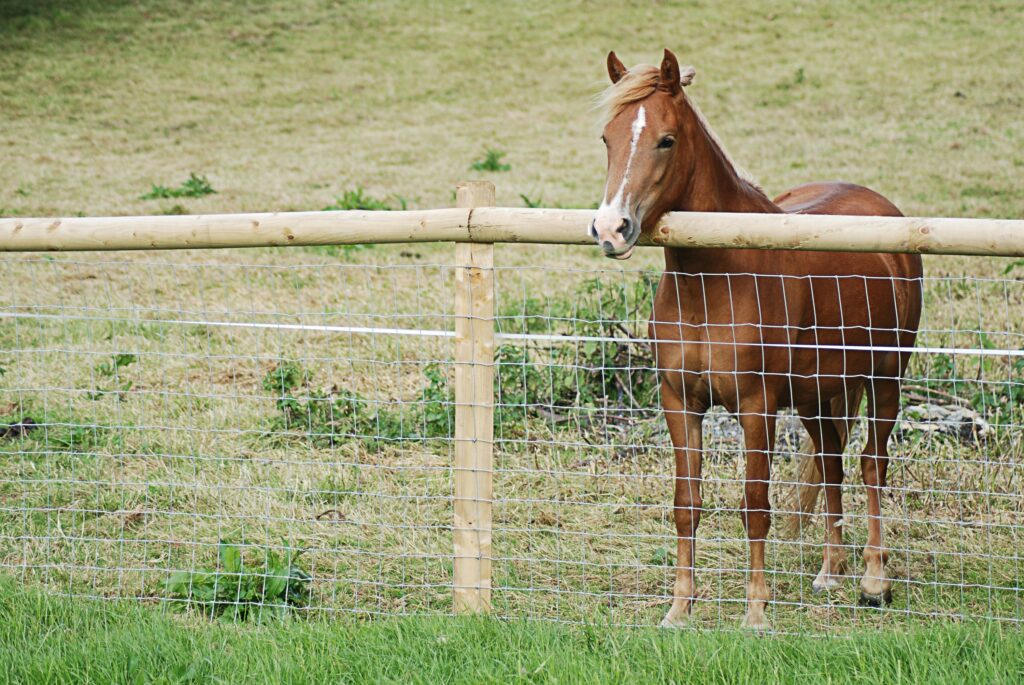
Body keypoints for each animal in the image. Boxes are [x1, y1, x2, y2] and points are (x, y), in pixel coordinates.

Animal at [589, 49, 923, 630]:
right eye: (608, 138)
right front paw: (679, 609)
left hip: (885, 378)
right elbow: (686, 503)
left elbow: (755, 504)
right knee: (831, 463)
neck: (715, 279)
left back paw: (873, 581)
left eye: (666, 140)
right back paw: (830, 571)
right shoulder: (680, 402)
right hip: (818, 395)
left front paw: (756, 613)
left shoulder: (755, 405)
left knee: (871, 464)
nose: (612, 229)